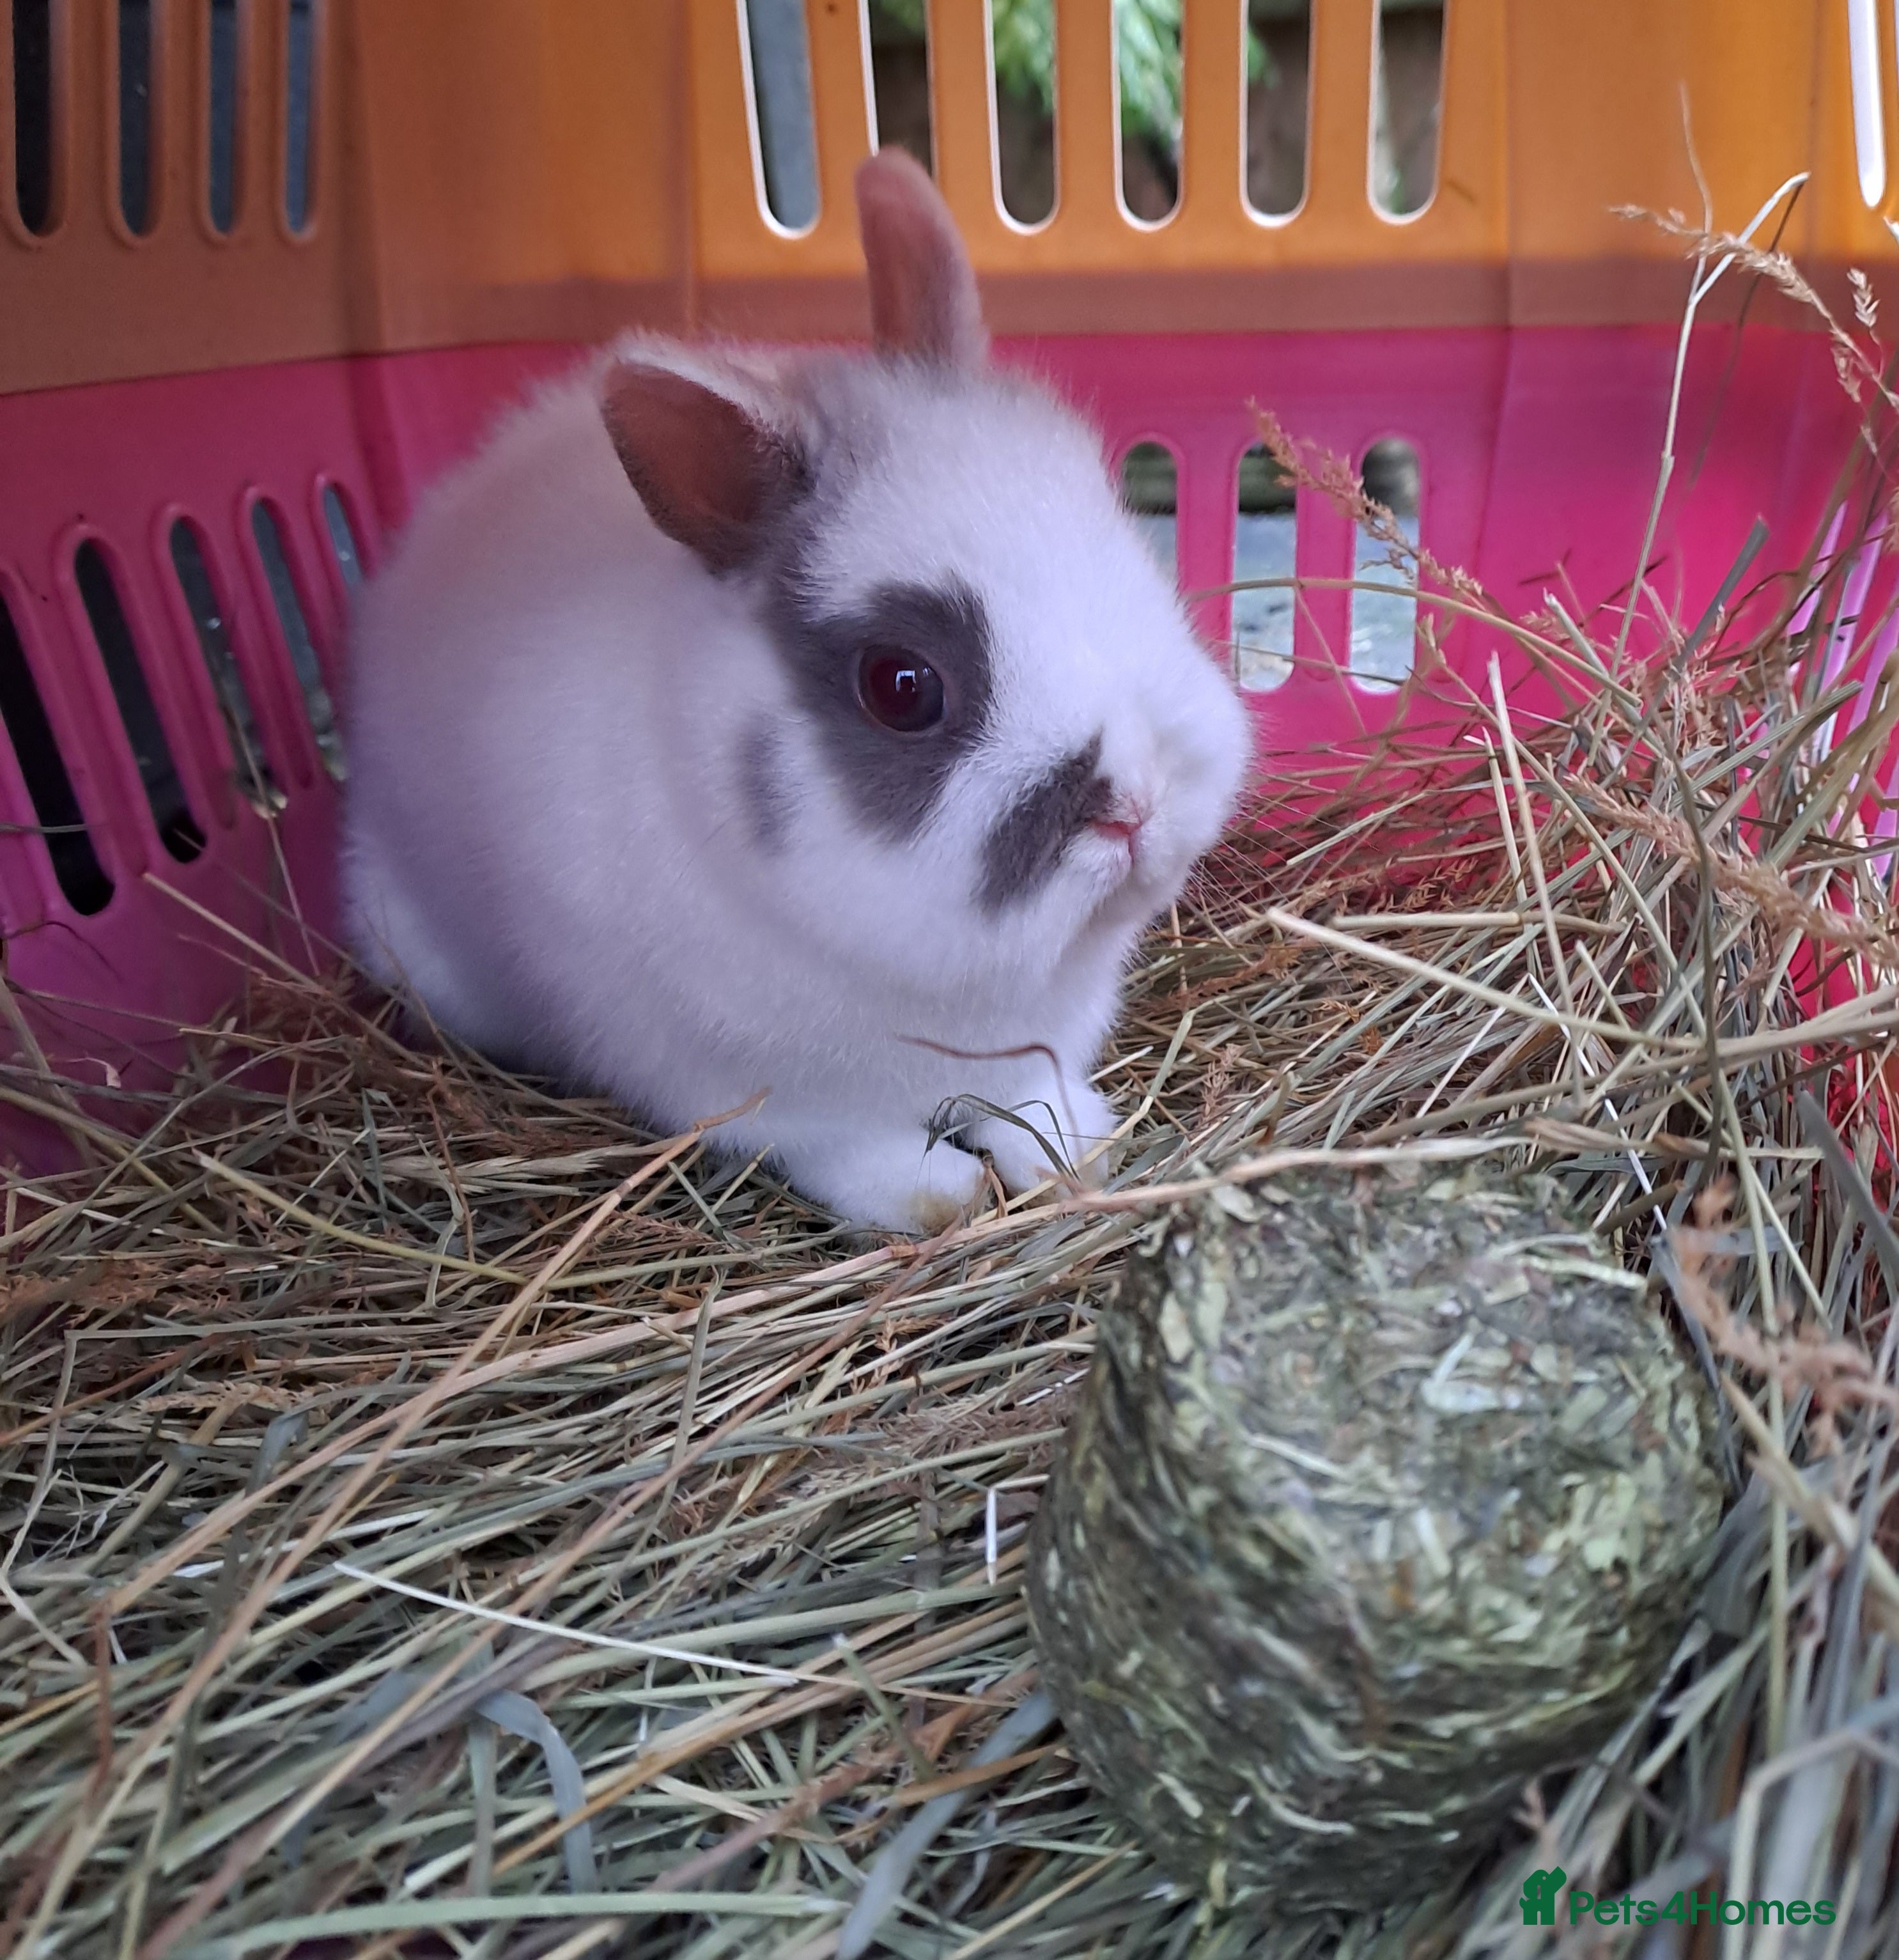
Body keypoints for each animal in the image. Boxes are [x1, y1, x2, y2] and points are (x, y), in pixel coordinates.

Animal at [342, 148, 1252, 1234]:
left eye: (1118, 532)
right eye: (900, 686)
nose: (1136, 804)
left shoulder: (1033, 1047)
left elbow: (1034, 1103)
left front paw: (1079, 1152)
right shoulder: (770, 1101)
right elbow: (867, 1160)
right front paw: (945, 1199)